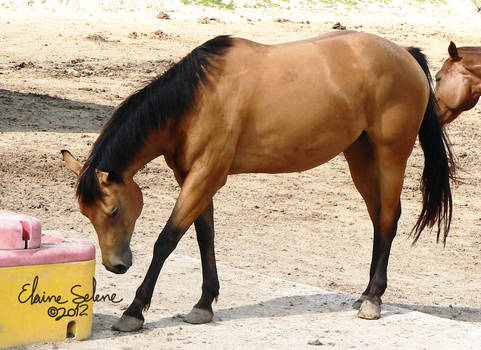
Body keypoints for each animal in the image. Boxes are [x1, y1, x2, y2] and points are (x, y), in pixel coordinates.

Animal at [62, 31, 456, 332]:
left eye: (113, 210)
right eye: (85, 214)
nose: (116, 265)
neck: (198, 98)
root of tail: (403, 53)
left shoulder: (205, 176)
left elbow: (167, 240)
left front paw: (134, 311)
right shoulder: (194, 178)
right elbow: (205, 237)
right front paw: (204, 303)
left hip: (390, 156)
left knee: (388, 219)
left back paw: (373, 298)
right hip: (359, 155)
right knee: (377, 219)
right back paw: (366, 292)